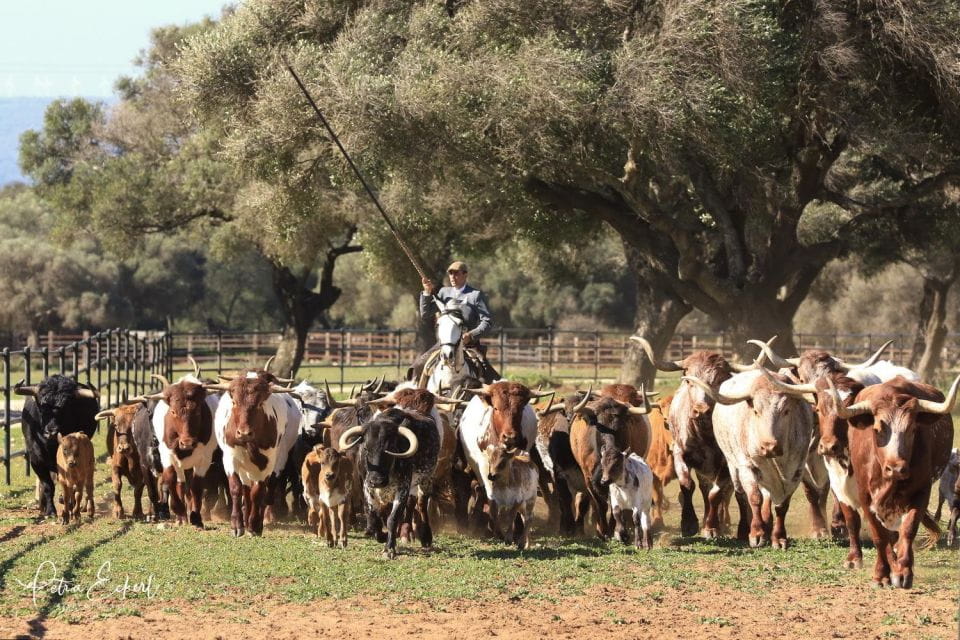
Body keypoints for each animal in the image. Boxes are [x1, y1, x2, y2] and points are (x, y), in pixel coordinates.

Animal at [15, 375, 99, 518]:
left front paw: (68, 504)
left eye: (66, 406)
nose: (51, 432)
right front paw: (50, 511)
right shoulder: (36, 460)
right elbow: (48, 485)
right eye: (42, 406)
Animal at [208, 370, 300, 536]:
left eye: (259, 403)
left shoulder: (268, 463)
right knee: (246, 490)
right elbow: (236, 489)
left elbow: (258, 492)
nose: (244, 433)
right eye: (234, 402)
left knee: (266, 491)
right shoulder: (230, 458)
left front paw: (255, 525)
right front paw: (237, 525)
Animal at [338, 407, 440, 558]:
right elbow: (373, 517)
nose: (376, 480)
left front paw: (389, 548)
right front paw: (381, 536)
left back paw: (426, 537)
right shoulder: (367, 487)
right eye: (366, 448)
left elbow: (392, 518)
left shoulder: (403, 488)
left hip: (426, 479)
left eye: (390, 448)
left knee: (421, 504)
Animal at [685, 365, 818, 549]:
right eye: (756, 410)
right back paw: (738, 530)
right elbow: (755, 498)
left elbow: (782, 505)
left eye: (786, 411)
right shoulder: (747, 466)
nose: (769, 446)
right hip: (732, 464)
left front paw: (779, 537)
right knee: (739, 495)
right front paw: (757, 533)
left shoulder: (796, 471)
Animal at [827, 375, 957, 587]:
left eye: (912, 429)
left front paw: (903, 572)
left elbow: (908, 530)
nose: (896, 468)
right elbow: (880, 537)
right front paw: (881, 575)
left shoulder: (921, 492)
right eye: (877, 429)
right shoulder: (865, 498)